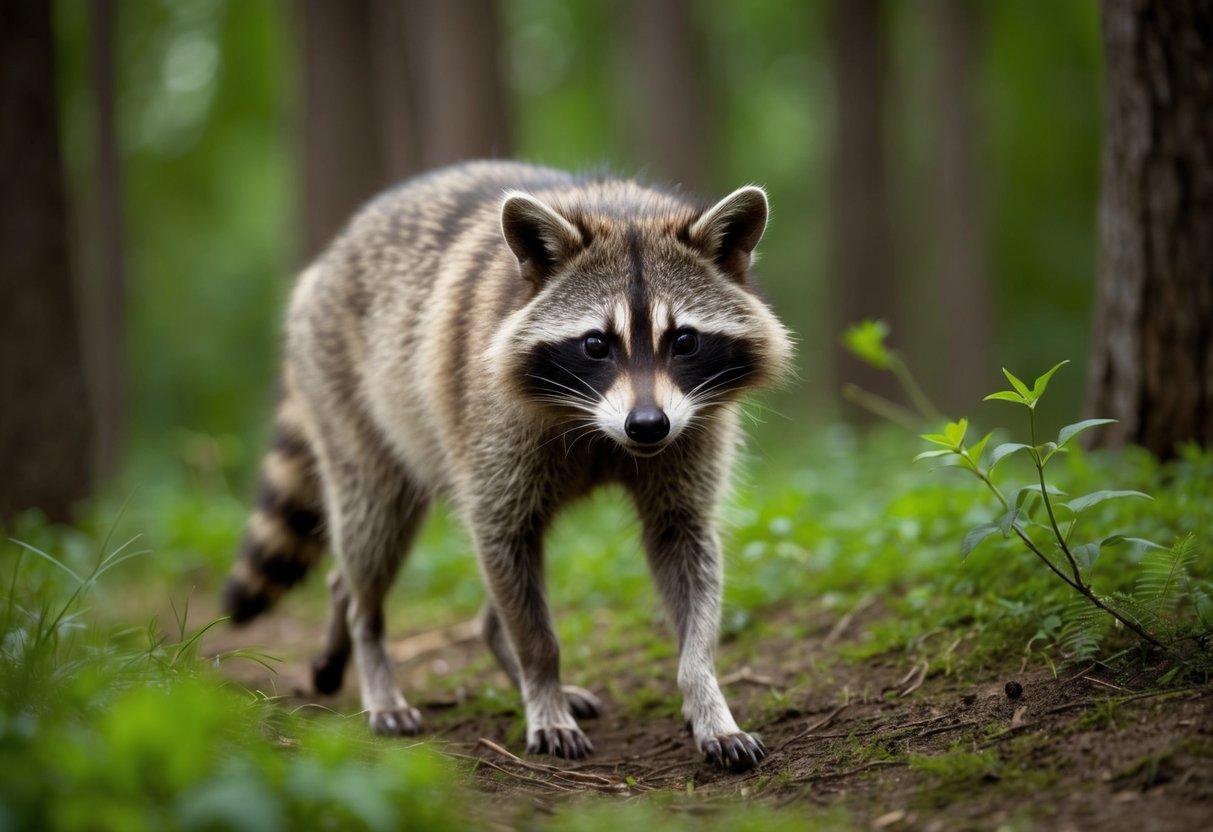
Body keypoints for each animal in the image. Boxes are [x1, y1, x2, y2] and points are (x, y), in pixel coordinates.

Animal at [222, 161, 793, 770]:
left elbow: (686, 550)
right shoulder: (493, 426)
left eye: (684, 340)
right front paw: (541, 681)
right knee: (373, 529)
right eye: (597, 344)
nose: (647, 426)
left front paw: (705, 692)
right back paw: (368, 640)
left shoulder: (692, 431)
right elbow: (514, 569)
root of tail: (329, 259)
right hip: (352, 403)